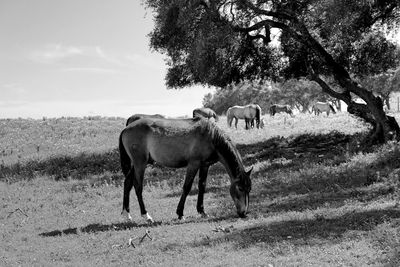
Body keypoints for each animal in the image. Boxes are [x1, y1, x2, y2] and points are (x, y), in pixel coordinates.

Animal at [118, 117, 253, 224]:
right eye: (240, 188)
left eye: (249, 189)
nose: (243, 213)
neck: (211, 137)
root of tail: (126, 129)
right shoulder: (193, 164)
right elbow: (187, 187)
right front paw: (180, 213)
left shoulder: (205, 165)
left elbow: (202, 186)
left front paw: (202, 211)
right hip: (140, 163)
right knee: (137, 186)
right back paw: (146, 215)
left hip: (136, 165)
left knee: (127, 183)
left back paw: (126, 214)